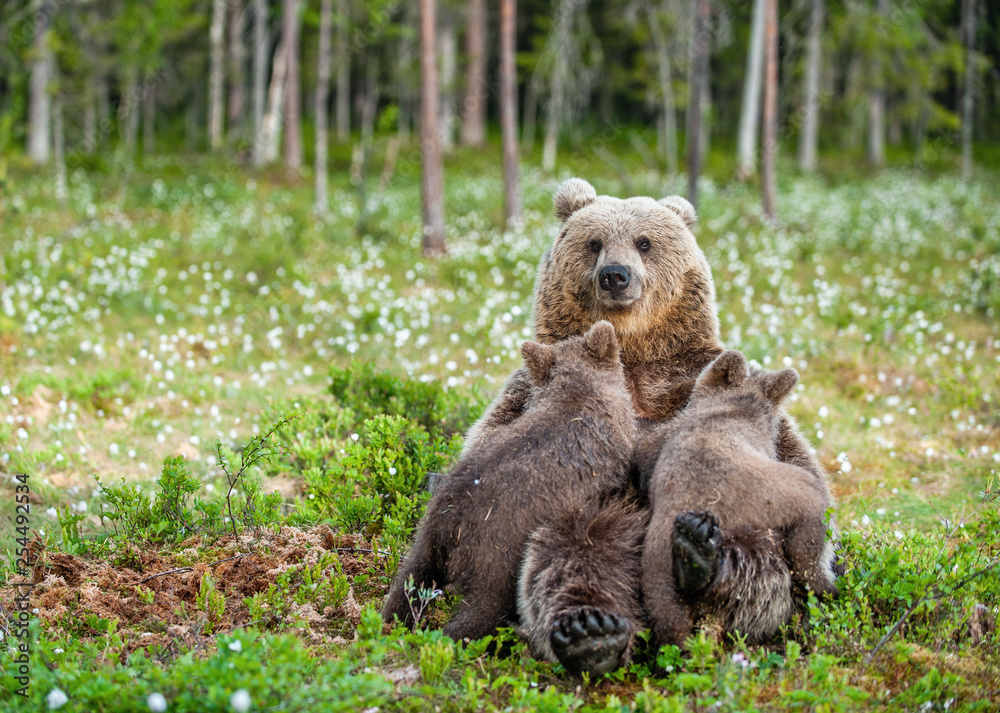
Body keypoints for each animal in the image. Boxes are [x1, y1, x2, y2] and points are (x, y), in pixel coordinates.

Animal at [381, 321, 638, 646]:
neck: (577, 391)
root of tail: (450, 525)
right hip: (496, 557)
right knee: (481, 612)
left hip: (426, 539)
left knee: (406, 584)